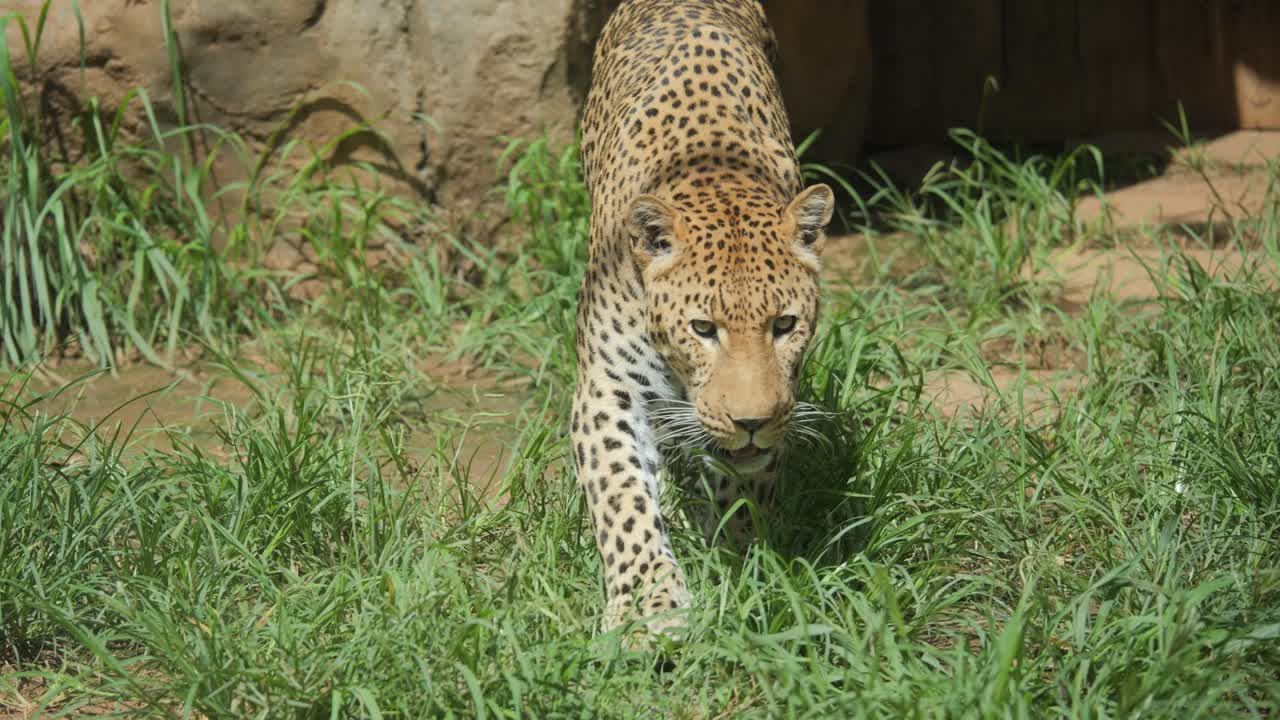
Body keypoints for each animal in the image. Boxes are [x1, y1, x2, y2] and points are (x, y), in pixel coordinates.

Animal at [572, 0, 835, 634]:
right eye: (702, 329)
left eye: (784, 326)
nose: (751, 420)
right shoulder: (607, 386)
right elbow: (621, 496)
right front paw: (649, 609)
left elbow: (744, 491)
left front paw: (742, 563)